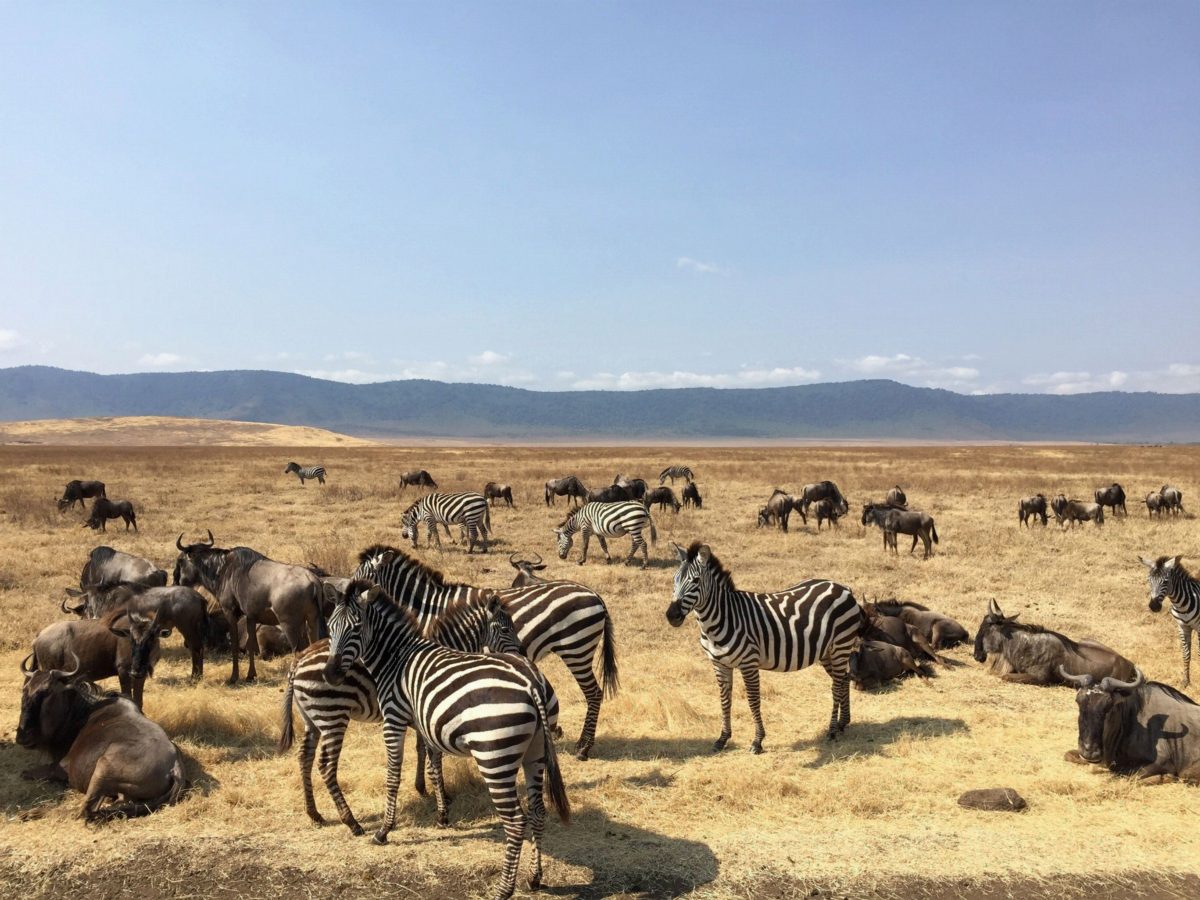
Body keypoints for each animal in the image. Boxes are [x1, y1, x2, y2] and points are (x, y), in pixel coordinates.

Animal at [279, 590, 559, 835]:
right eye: (505, 629)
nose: (522, 655)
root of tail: (298, 660)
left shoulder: (424, 714)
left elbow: (426, 752)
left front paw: (427, 791)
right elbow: (431, 755)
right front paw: (435, 794)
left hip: (312, 719)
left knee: (304, 758)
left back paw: (314, 813)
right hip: (333, 717)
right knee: (325, 765)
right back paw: (352, 822)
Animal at [323, 579, 570, 900]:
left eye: (355, 628)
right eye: (329, 627)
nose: (330, 674)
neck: (397, 657)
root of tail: (531, 682)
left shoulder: (394, 718)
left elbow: (393, 776)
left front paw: (384, 831)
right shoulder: (427, 724)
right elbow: (433, 765)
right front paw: (442, 815)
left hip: (495, 757)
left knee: (516, 822)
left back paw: (503, 890)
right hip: (536, 751)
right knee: (538, 811)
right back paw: (534, 878)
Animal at [354, 544, 618, 759]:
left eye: (361, 577)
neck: (431, 606)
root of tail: (595, 595)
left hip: (576, 649)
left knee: (593, 692)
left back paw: (584, 747)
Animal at [666, 541, 864, 751]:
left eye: (695, 581)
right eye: (674, 579)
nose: (671, 615)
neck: (721, 619)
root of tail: (843, 587)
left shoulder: (749, 663)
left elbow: (753, 701)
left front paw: (757, 740)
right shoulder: (719, 664)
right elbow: (724, 700)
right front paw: (722, 738)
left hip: (841, 645)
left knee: (836, 686)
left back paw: (832, 730)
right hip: (827, 651)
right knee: (843, 679)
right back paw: (843, 722)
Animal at [1140, 555, 1199, 687]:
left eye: (1165, 582)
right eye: (1149, 580)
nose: (1154, 606)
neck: (1181, 605)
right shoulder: (1182, 627)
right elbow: (1186, 654)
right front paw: (1185, 681)